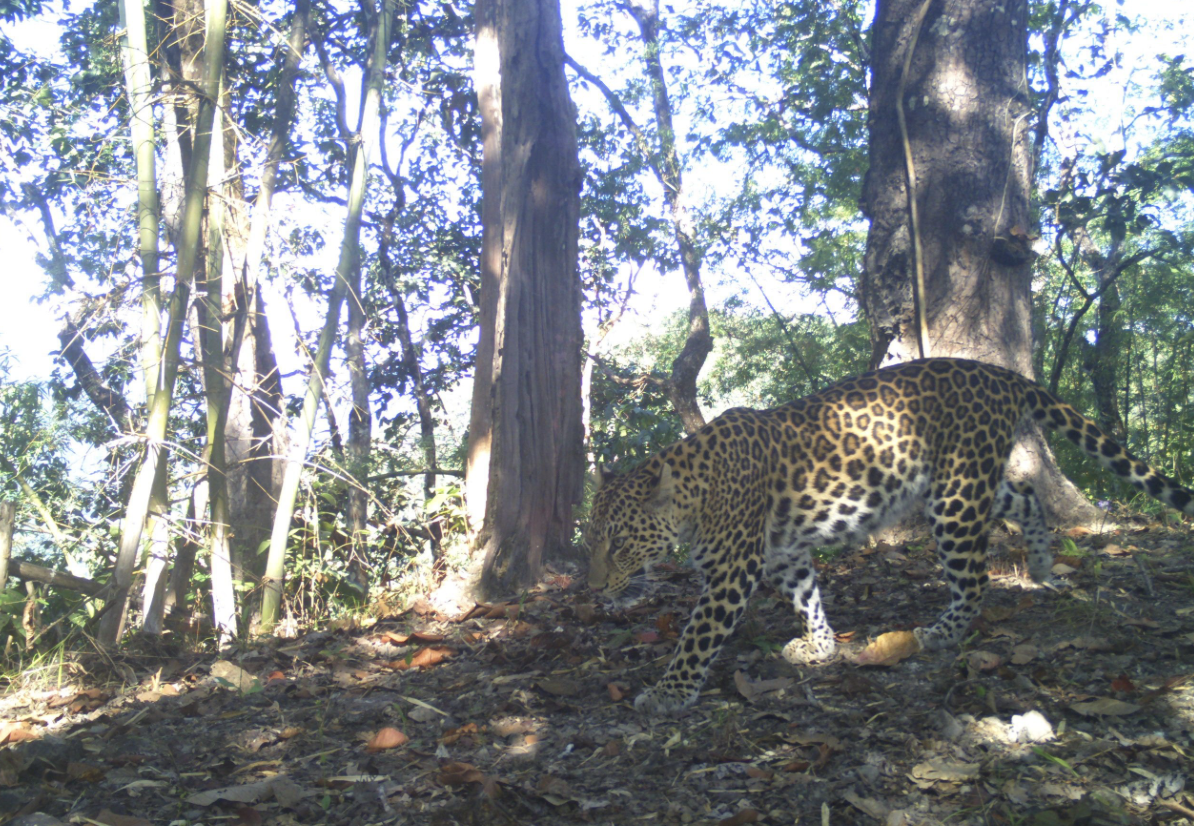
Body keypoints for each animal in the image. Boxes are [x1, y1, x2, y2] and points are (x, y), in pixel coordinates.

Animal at [586, 358, 1194, 716]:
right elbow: (807, 596)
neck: (695, 491)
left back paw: (939, 633)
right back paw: (1043, 565)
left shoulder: (733, 572)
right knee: (1025, 494)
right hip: (961, 482)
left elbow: (697, 637)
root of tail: (1001, 374)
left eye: (619, 544)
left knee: (975, 579)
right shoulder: (785, 552)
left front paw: (667, 694)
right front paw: (821, 646)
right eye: (594, 540)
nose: (595, 587)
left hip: (955, 496)